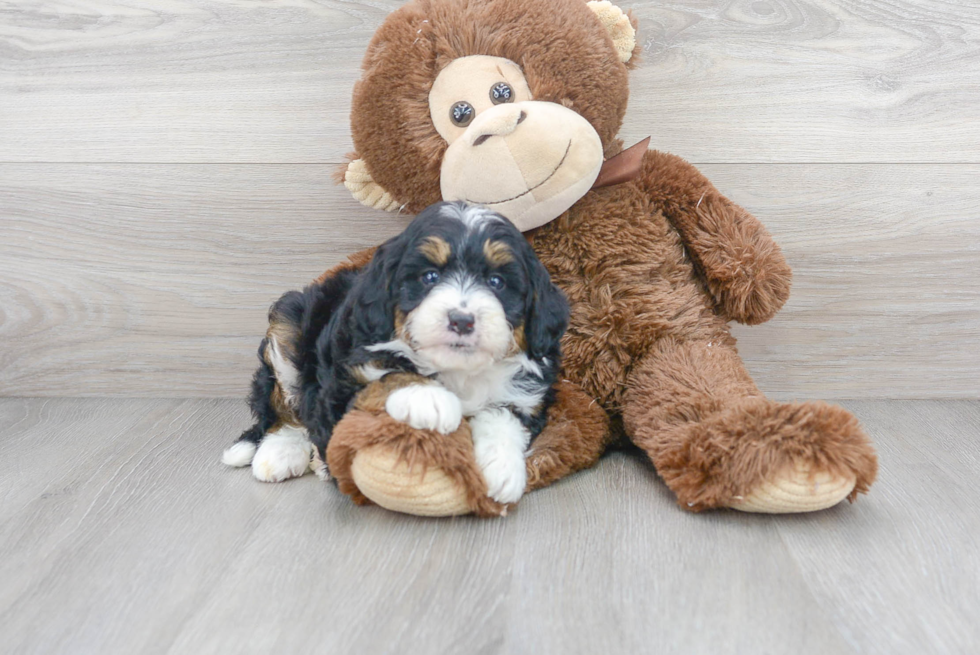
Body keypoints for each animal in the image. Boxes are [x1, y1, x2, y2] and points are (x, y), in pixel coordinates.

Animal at [223, 202, 572, 504]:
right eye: (429, 277)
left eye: (496, 282)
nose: (461, 320)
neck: (456, 369)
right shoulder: (342, 383)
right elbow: (387, 375)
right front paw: (428, 397)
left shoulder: (528, 394)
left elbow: (504, 416)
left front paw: (501, 469)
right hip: (288, 321)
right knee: (283, 407)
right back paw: (280, 453)